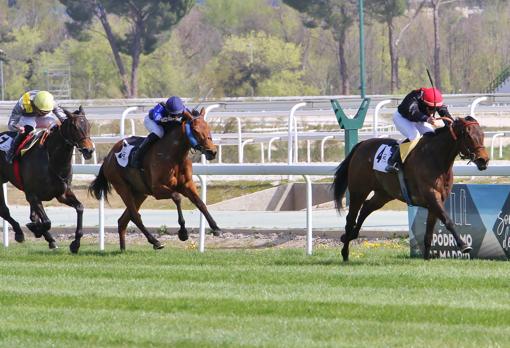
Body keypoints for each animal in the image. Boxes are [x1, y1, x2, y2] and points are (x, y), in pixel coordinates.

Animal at [0, 106, 94, 253]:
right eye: (74, 127)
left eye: (88, 125)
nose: (89, 150)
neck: (52, 161)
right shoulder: (32, 195)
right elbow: (46, 222)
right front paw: (36, 229)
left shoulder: (62, 193)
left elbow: (80, 208)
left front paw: (75, 243)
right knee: (4, 210)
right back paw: (19, 233)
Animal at [89, 106, 221, 250]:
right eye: (195, 130)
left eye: (208, 127)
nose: (212, 151)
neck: (174, 156)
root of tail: (108, 157)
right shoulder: (157, 189)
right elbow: (177, 197)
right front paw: (183, 233)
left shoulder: (187, 184)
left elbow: (200, 203)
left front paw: (216, 228)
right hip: (122, 188)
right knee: (135, 216)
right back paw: (155, 241)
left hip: (140, 193)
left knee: (123, 220)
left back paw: (123, 249)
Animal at [332, 117, 492, 260]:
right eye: (468, 136)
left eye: (482, 135)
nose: (483, 160)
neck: (436, 158)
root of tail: (362, 144)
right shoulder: (431, 196)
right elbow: (448, 220)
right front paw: (464, 245)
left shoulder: (435, 202)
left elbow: (429, 233)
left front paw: (426, 259)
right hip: (359, 190)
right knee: (351, 218)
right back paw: (345, 252)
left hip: (384, 194)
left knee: (366, 208)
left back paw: (351, 235)